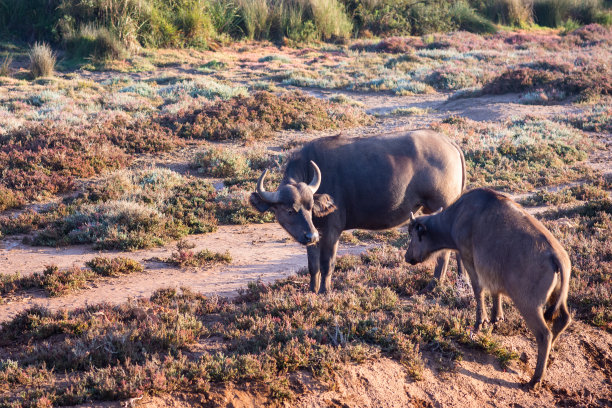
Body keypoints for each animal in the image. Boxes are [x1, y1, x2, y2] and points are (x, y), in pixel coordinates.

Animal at [249, 129, 464, 292]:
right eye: (290, 210)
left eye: (309, 207)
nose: (311, 236)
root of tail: (450, 143)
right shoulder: (314, 232)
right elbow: (313, 266)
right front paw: (311, 291)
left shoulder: (331, 231)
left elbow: (327, 264)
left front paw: (324, 292)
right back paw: (461, 281)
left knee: (444, 252)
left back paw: (433, 285)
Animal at [404, 188, 572, 388]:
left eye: (413, 235)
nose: (407, 257)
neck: (456, 216)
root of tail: (556, 256)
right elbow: (495, 292)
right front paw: (496, 318)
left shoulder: (469, 258)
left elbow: (478, 289)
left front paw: (480, 322)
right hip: (556, 300)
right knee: (563, 320)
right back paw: (549, 360)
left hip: (529, 307)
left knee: (544, 334)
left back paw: (534, 380)